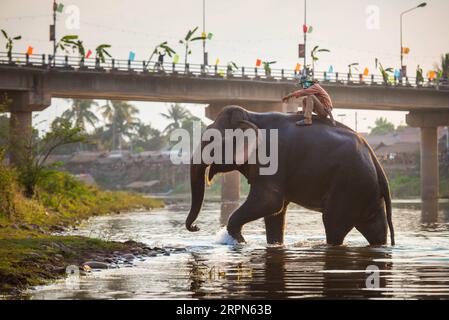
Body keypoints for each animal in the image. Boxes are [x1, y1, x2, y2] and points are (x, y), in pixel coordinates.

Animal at [184, 106, 394, 246]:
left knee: (333, 224)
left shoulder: (272, 157)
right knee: (375, 227)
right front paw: (271, 244)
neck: (251, 115)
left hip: (349, 185)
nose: (196, 227)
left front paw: (239, 240)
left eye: (210, 140)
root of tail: (376, 162)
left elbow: (269, 201)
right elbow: (275, 211)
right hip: (364, 191)